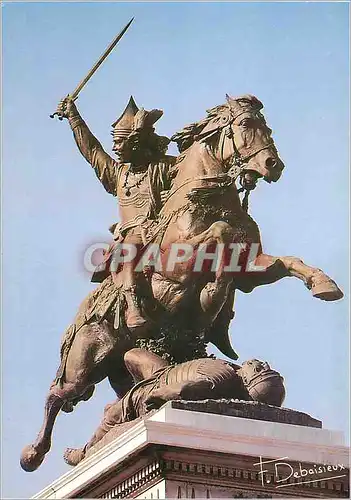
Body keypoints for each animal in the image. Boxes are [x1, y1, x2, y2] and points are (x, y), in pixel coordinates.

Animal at [20, 94, 342, 472]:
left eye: (268, 127)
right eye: (245, 124)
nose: (272, 164)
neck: (208, 201)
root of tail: (79, 322)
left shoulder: (251, 270)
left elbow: (287, 261)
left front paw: (324, 284)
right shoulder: (179, 265)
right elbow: (220, 233)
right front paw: (212, 296)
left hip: (117, 365)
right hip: (86, 360)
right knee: (57, 395)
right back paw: (33, 453)